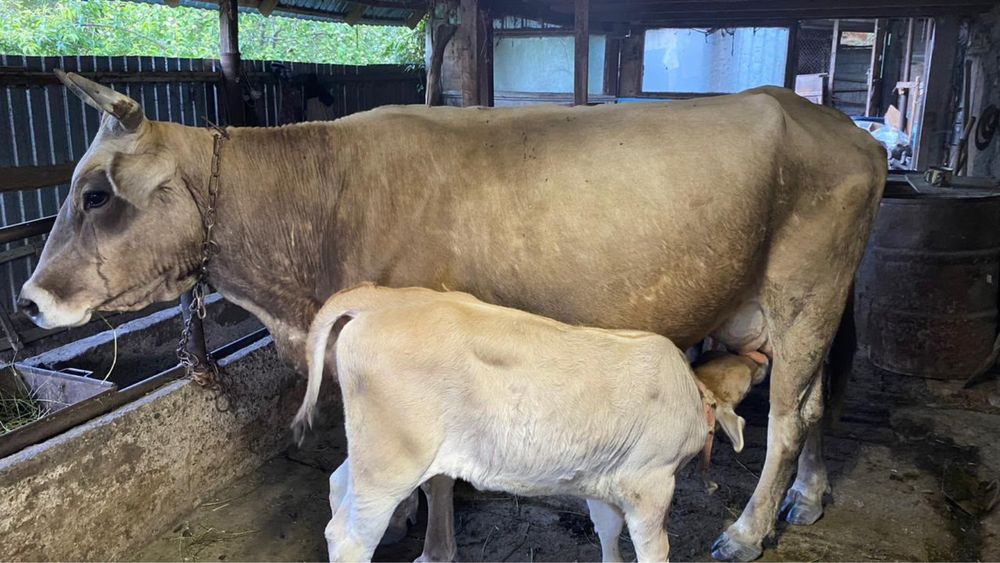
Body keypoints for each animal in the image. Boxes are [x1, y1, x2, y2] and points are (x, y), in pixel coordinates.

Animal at [292, 284, 748, 563]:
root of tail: (382, 299)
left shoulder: (606, 478)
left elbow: (606, 531)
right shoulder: (650, 483)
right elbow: (654, 548)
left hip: (375, 449)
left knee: (338, 484)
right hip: (393, 461)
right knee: (349, 535)